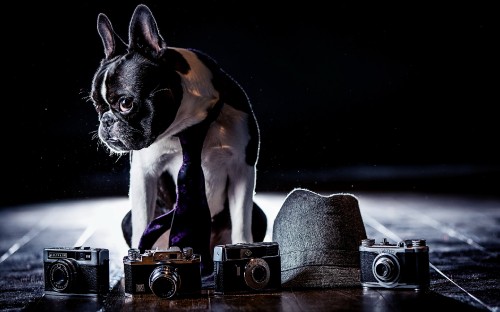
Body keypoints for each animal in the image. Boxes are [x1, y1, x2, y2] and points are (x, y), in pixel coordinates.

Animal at [90, 4, 266, 251]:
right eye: (97, 105)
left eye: (126, 103)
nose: (105, 121)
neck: (191, 125)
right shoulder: (146, 173)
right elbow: (142, 222)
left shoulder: (242, 169)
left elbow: (241, 224)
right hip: (127, 219)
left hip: (260, 215)